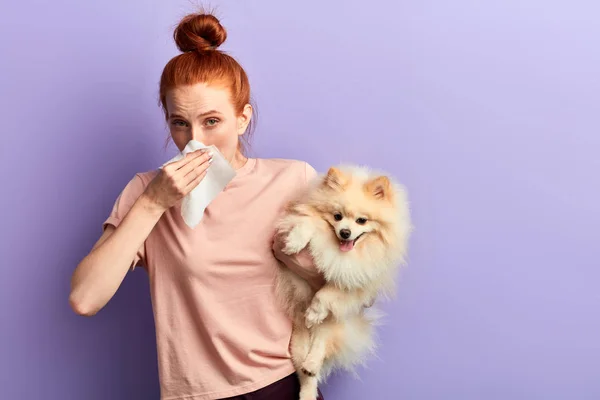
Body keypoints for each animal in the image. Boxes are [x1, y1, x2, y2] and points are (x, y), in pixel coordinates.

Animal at [276, 164, 412, 398]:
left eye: (362, 220)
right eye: (337, 216)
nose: (345, 232)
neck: (343, 252)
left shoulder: (360, 282)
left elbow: (328, 291)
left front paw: (314, 311)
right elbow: (307, 222)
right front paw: (295, 242)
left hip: (330, 327)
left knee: (319, 348)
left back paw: (312, 361)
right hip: (296, 345)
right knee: (306, 376)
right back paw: (307, 387)